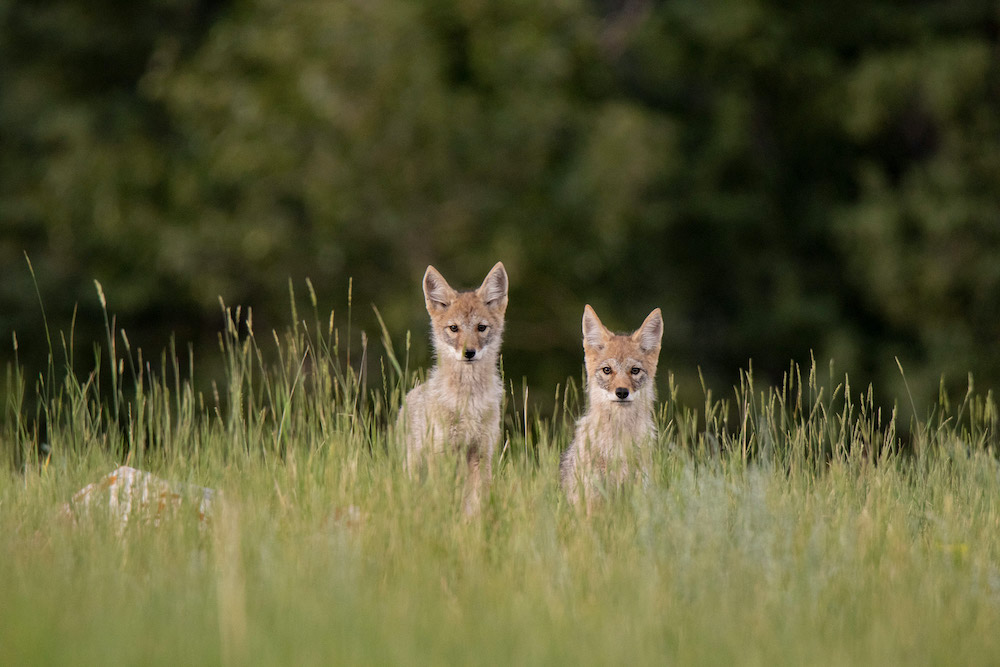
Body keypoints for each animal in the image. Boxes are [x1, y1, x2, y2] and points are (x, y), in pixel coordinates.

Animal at [396, 260, 508, 512]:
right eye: (454, 328)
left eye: (481, 328)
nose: (469, 353)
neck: (468, 401)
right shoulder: (442, 453)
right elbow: (443, 499)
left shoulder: (481, 453)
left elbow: (477, 503)